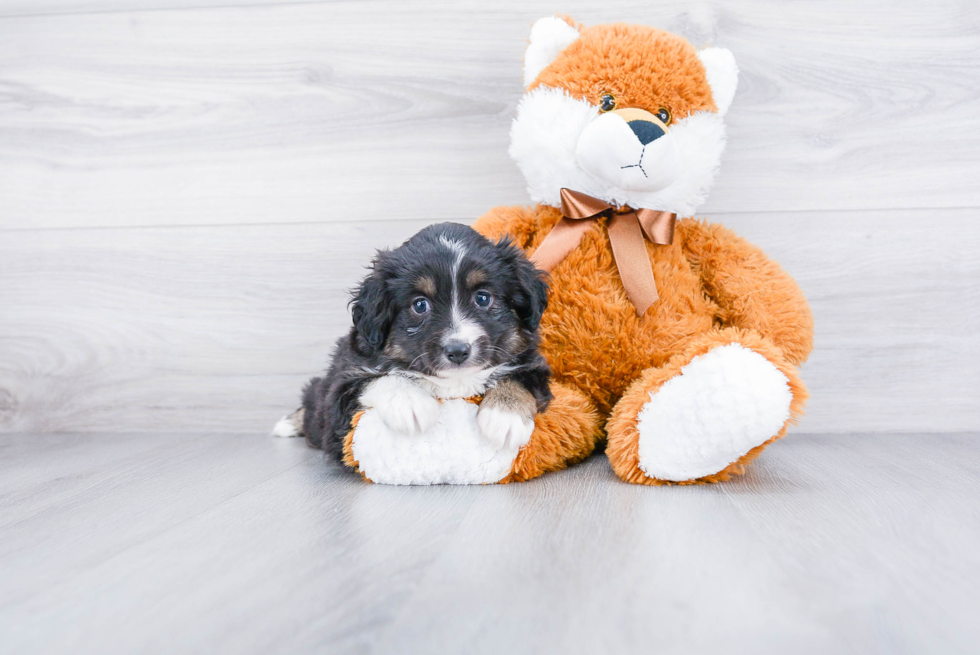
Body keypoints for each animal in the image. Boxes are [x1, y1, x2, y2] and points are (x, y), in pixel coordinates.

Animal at [274, 223, 552, 464]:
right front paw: (410, 404)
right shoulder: (341, 390)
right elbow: (376, 377)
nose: (457, 351)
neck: (455, 382)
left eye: (483, 298)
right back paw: (287, 424)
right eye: (420, 305)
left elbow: (518, 378)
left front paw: (505, 417)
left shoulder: (533, 364)